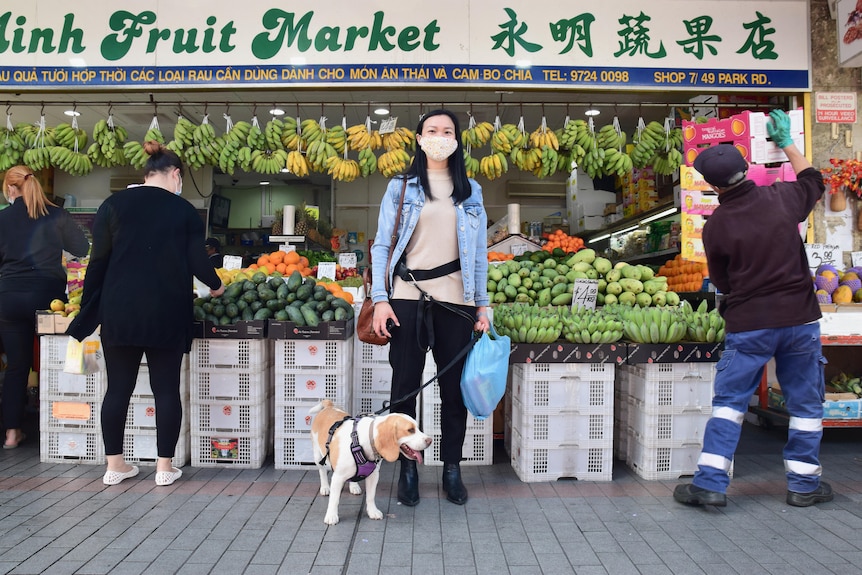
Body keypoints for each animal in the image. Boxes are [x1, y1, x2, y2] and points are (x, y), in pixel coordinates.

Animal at [308, 400, 432, 528]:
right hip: (318, 457)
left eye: (417, 428)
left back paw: (354, 486)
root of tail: (329, 406)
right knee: (322, 472)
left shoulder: (374, 475)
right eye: (410, 430)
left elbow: (371, 496)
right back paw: (325, 487)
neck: (361, 441)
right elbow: (334, 499)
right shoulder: (338, 477)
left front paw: (372, 512)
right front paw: (331, 516)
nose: (430, 440)